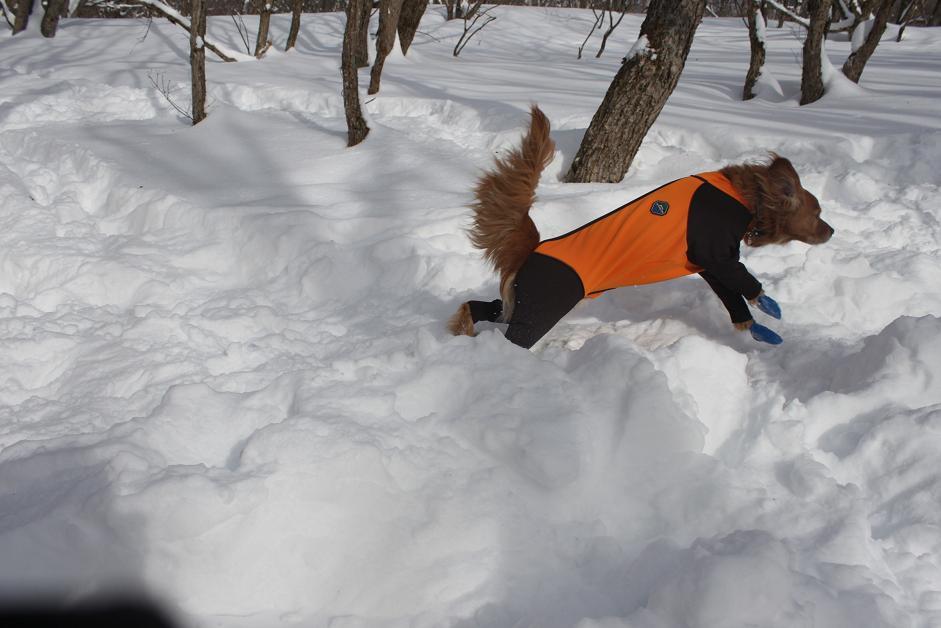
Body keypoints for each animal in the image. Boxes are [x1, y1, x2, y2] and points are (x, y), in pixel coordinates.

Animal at [452, 105, 832, 346]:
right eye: (817, 212)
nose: (832, 231)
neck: (747, 194)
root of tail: (534, 247)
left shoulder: (709, 267)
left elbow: (732, 297)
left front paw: (755, 328)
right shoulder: (718, 255)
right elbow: (744, 281)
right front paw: (767, 303)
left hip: (519, 302)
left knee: (479, 307)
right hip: (540, 309)